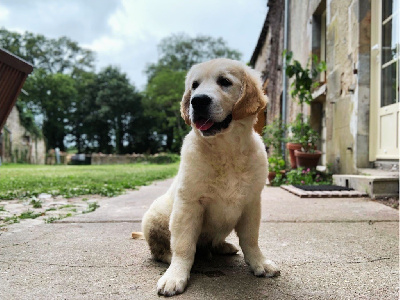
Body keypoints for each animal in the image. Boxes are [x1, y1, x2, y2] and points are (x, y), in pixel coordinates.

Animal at [139, 58, 280, 296]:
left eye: (225, 82)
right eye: (194, 85)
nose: (197, 101)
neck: (226, 150)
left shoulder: (251, 202)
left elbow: (251, 238)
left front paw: (259, 263)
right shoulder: (189, 203)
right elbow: (184, 245)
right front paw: (176, 275)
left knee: (215, 241)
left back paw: (223, 247)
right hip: (154, 215)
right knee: (161, 249)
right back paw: (172, 258)